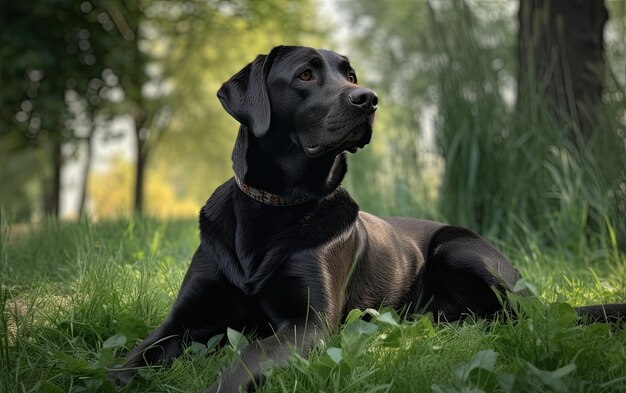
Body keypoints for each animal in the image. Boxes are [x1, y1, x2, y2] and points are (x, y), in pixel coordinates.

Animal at [109, 46, 620, 392]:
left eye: (349, 73)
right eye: (306, 73)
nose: (369, 98)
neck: (274, 206)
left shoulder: (308, 324)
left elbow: (245, 359)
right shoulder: (183, 319)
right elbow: (130, 358)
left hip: (460, 248)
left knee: (526, 321)